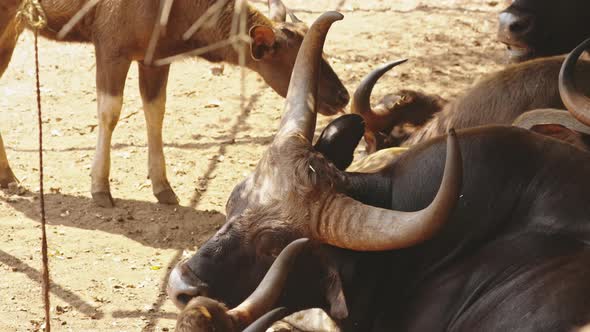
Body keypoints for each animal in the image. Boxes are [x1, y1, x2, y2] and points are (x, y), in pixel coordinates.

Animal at [0, 0, 350, 206]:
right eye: (299, 61)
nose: (342, 95)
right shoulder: (111, 47)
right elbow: (110, 112)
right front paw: (100, 188)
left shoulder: (154, 59)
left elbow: (156, 112)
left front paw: (163, 188)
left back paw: (9, 177)